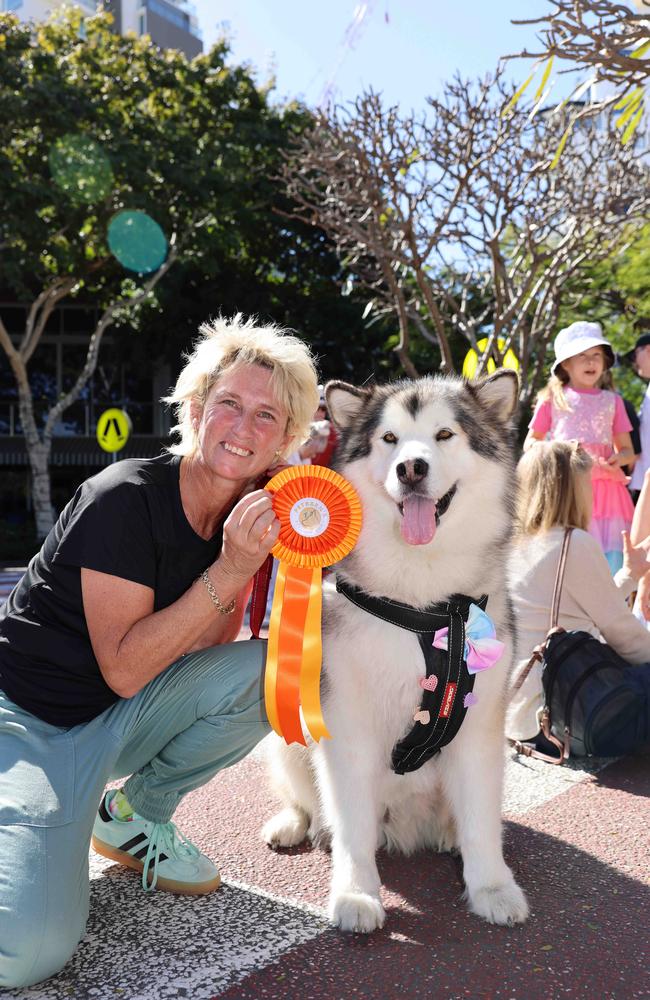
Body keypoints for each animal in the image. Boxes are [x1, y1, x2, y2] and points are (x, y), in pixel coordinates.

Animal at [260, 372, 528, 932]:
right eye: (389, 439)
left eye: (444, 434)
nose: (411, 467)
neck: (421, 601)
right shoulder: (346, 726)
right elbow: (353, 830)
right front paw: (356, 894)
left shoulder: (480, 729)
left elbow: (481, 823)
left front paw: (492, 887)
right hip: (285, 730)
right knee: (308, 799)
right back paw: (298, 825)